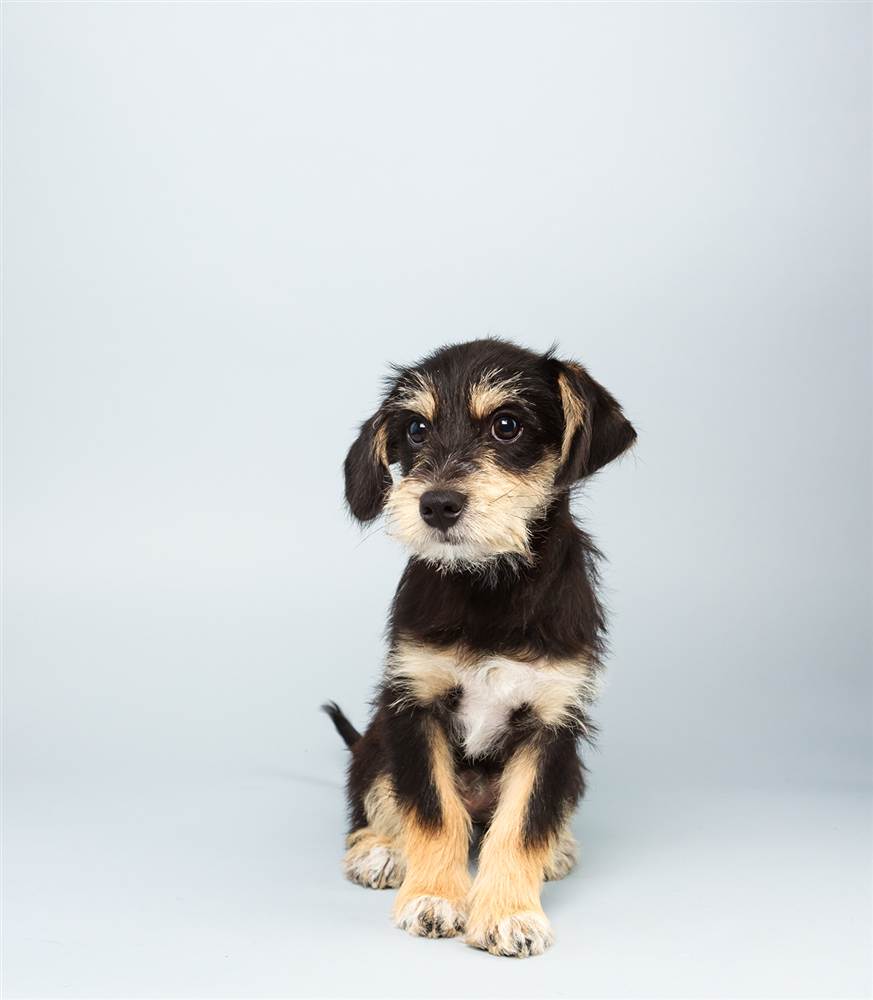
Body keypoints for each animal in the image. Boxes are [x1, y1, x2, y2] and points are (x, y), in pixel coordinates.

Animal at [324, 337, 635, 957]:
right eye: (416, 429)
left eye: (507, 426)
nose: (437, 504)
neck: (489, 586)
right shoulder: (414, 708)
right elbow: (433, 812)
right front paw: (434, 898)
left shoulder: (550, 725)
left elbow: (521, 827)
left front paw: (510, 913)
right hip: (374, 743)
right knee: (377, 806)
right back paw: (379, 851)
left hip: (573, 773)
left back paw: (558, 850)